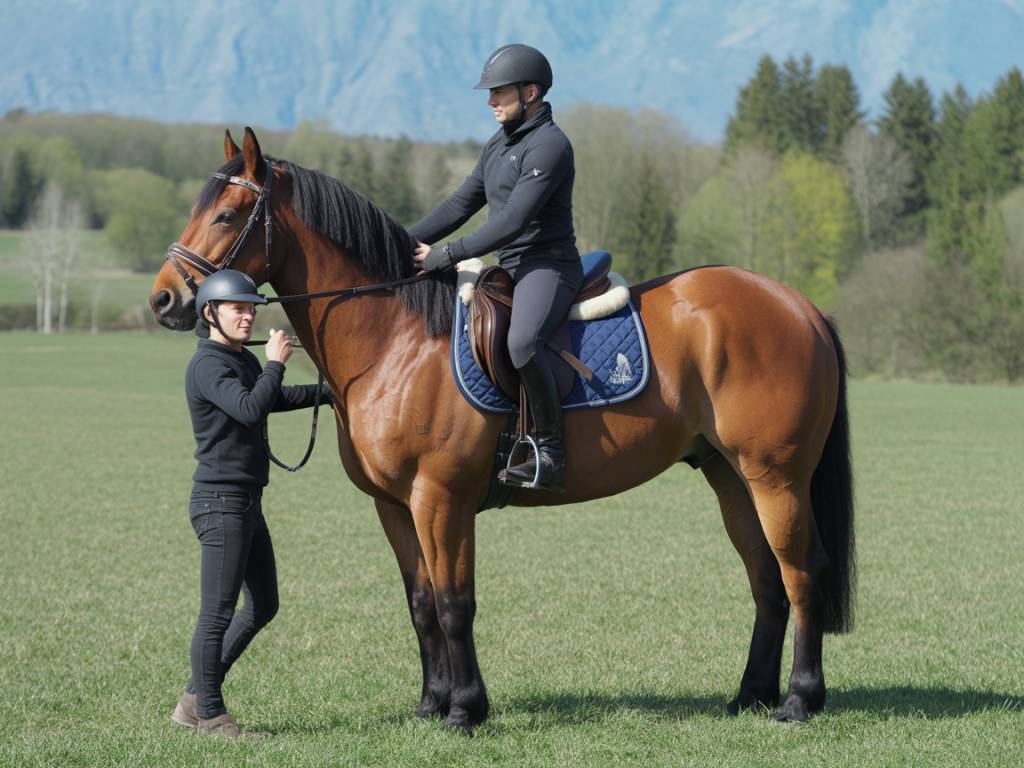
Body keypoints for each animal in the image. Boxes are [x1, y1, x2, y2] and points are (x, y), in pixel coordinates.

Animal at [150, 127, 855, 733]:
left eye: (226, 216)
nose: (164, 300)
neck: (397, 337)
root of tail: (800, 306)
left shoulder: (442, 499)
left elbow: (454, 604)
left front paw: (465, 710)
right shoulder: (394, 506)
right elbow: (421, 605)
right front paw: (432, 705)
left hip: (776, 477)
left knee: (801, 572)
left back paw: (798, 701)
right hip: (730, 475)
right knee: (766, 578)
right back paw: (749, 696)